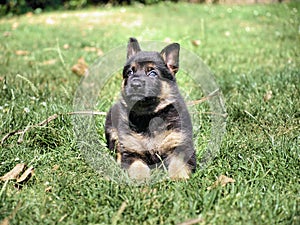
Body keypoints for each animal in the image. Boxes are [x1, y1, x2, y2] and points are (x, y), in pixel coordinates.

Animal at [104, 37, 196, 180]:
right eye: (130, 72)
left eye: (152, 73)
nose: (135, 84)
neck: (149, 116)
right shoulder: (132, 150)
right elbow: (137, 166)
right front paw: (141, 180)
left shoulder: (180, 144)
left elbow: (178, 163)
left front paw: (178, 178)